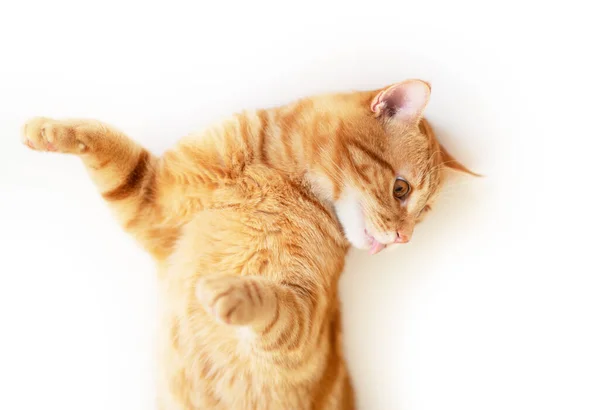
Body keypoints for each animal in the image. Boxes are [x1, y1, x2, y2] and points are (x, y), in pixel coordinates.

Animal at [21, 78, 472, 408]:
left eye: (422, 215)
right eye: (401, 190)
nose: (403, 239)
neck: (278, 180)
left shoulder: (304, 329)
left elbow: (273, 304)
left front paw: (232, 292)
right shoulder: (152, 202)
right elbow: (105, 143)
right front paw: (51, 129)